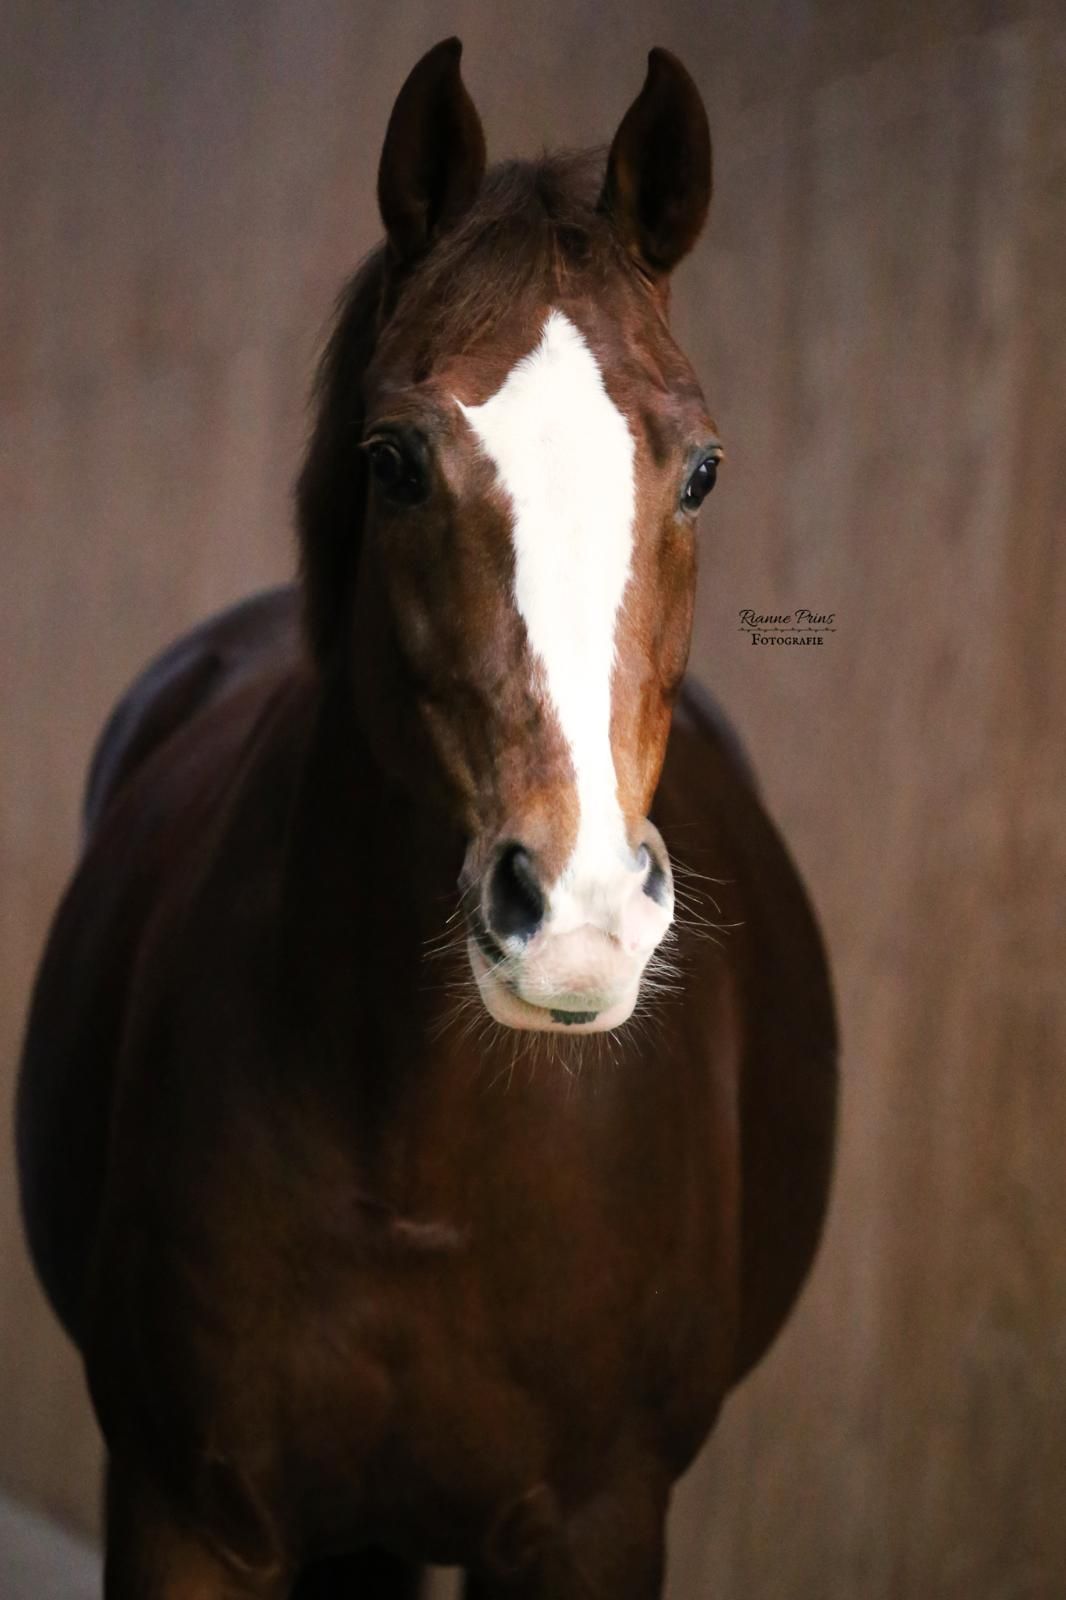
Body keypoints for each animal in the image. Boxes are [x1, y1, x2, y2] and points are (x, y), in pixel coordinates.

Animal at [16, 38, 837, 1600]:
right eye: (393, 458)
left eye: (700, 468)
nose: (574, 918)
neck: (424, 1156)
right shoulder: (182, 1509)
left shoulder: (594, 1527)